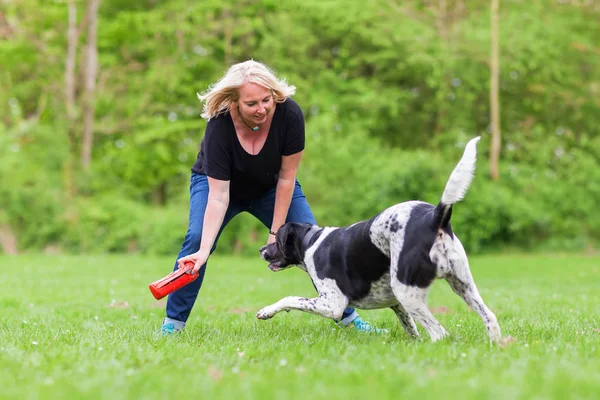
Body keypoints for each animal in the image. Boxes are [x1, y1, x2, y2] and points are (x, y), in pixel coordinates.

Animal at [258, 138, 502, 344]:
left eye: (276, 240)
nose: (261, 249)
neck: (311, 241)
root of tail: (435, 217)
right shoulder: (397, 304)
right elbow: (411, 329)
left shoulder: (332, 304)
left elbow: (289, 299)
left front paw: (266, 311)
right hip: (462, 285)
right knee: (490, 318)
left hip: (407, 291)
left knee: (439, 333)